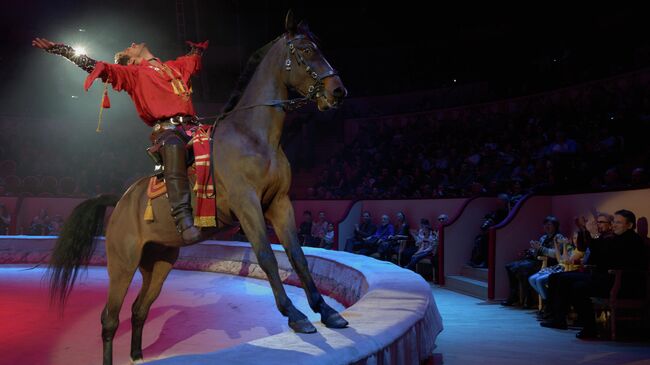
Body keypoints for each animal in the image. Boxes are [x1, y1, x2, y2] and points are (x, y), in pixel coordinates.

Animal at [47, 12, 350, 364]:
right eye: (305, 50)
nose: (338, 91)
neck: (252, 137)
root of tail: (120, 200)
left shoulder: (279, 203)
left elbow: (297, 256)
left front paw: (326, 311)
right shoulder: (247, 204)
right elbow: (267, 258)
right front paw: (295, 314)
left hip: (159, 261)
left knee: (139, 310)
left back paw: (137, 354)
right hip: (122, 264)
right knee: (109, 319)